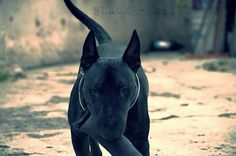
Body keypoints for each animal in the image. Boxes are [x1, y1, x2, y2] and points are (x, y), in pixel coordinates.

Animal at [64, 0, 149, 155]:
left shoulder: (141, 140)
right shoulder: (77, 135)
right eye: (95, 90)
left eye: (124, 90)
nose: (110, 132)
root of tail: (107, 42)